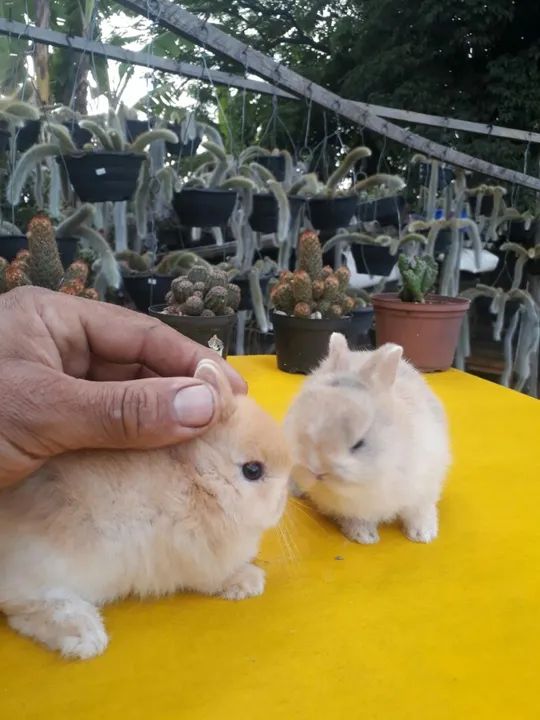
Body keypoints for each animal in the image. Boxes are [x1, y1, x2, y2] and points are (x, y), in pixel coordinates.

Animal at [0, 359, 291, 660]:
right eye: (253, 470)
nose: (282, 502)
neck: (198, 477)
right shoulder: (200, 558)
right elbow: (216, 578)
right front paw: (249, 580)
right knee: (29, 606)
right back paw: (86, 637)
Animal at [285, 333, 450, 545]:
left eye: (359, 444)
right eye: (303, 431)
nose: (318, 471)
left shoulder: (424, 485)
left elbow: (420, 510)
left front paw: (423, 535)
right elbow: (358, 519)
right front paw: (364, 537)